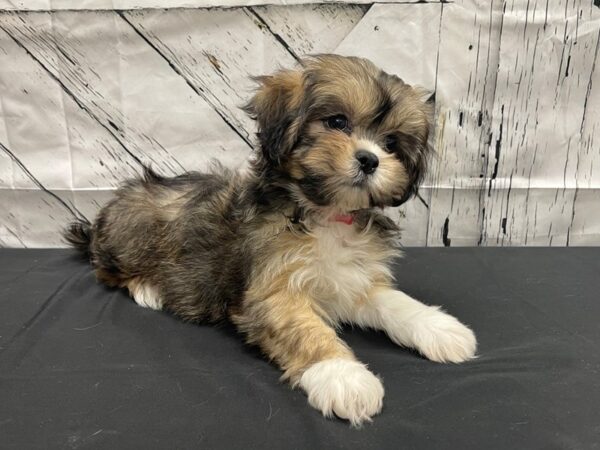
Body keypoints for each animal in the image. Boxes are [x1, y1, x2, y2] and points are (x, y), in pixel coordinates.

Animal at [65, 55, 476, 426]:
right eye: (337, 122)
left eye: (391, 144)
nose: (370, 160)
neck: (325, 214)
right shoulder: (271, 294)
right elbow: (307, 331)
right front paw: (343, 376)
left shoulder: (353, 280)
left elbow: (395, 302)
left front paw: (440, 328)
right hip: (131, 236)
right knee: (107, 270)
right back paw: (148, 288)